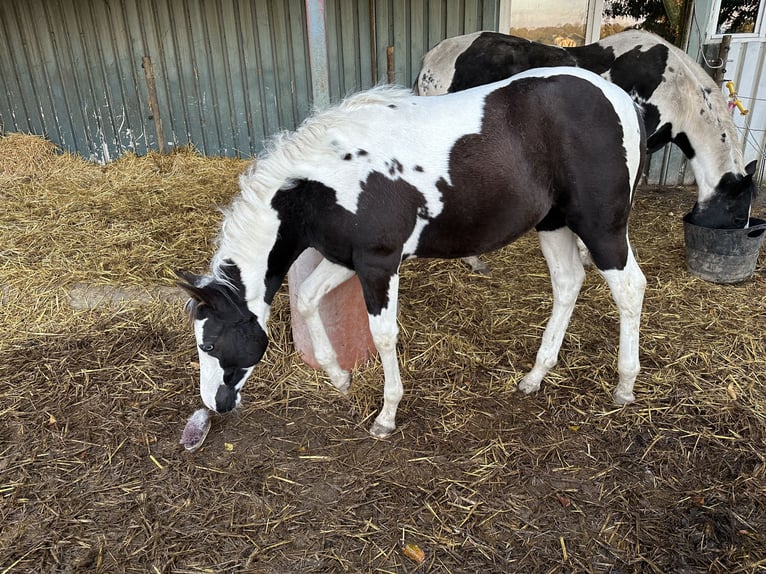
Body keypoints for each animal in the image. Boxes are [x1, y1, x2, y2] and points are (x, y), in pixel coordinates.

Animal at [178, 67, 647, 438]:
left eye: (211, 343)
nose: (215, 405)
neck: (322, 183)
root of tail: (619, 97)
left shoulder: (379, 264)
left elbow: (384, 335)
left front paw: (385, 416)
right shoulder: (348, 260)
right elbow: (309, 299)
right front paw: (339, 377)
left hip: (600, 230)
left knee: (629, 288)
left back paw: (624, 386)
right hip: (552, 223)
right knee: (568, 283)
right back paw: (535, 376)